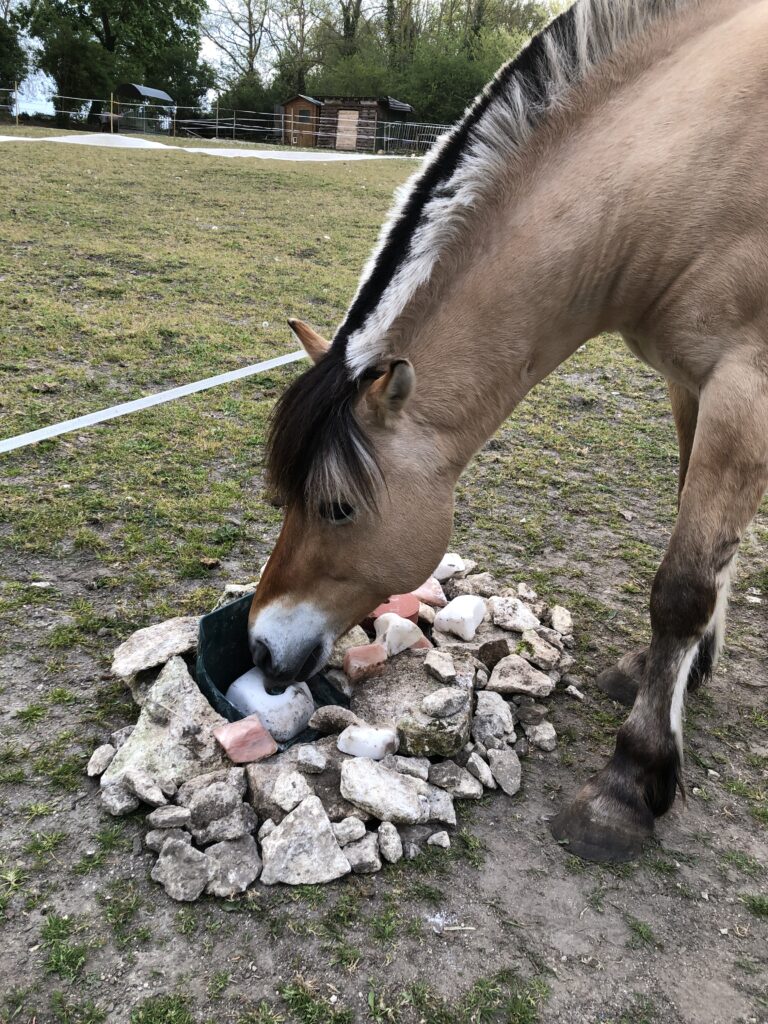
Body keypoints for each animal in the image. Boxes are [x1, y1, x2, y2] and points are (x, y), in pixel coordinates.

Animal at [247, 0, 768, 864]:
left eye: (339, 508)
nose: (259, 645)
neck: (689, 157)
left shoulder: (744, 386)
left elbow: (684, 587)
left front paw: (630, 784)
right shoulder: (693, 384)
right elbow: (707, 559)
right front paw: (684, 678)